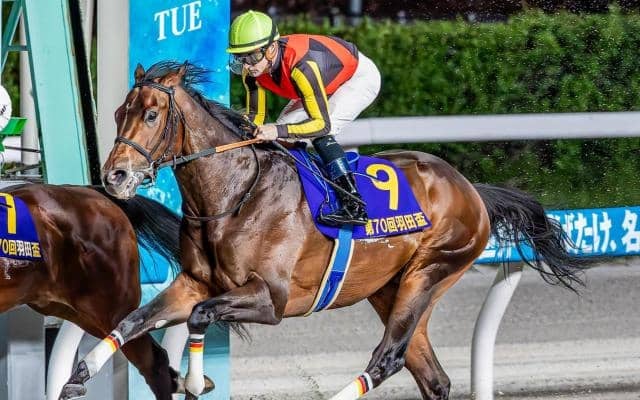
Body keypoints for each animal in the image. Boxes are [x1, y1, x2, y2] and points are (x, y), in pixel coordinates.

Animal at [60, 61, 585, 400]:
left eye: (151, 115)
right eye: (118, 114)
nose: (115, 176)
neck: (233, 195)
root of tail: (469, 188)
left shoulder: (269, 300)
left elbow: (199, 317)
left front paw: (194, 381)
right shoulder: (193, 283)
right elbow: (132, 321)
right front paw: (78, 375)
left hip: (432, 270)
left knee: (387, 359)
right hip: (390, 289)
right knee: (431, 377)